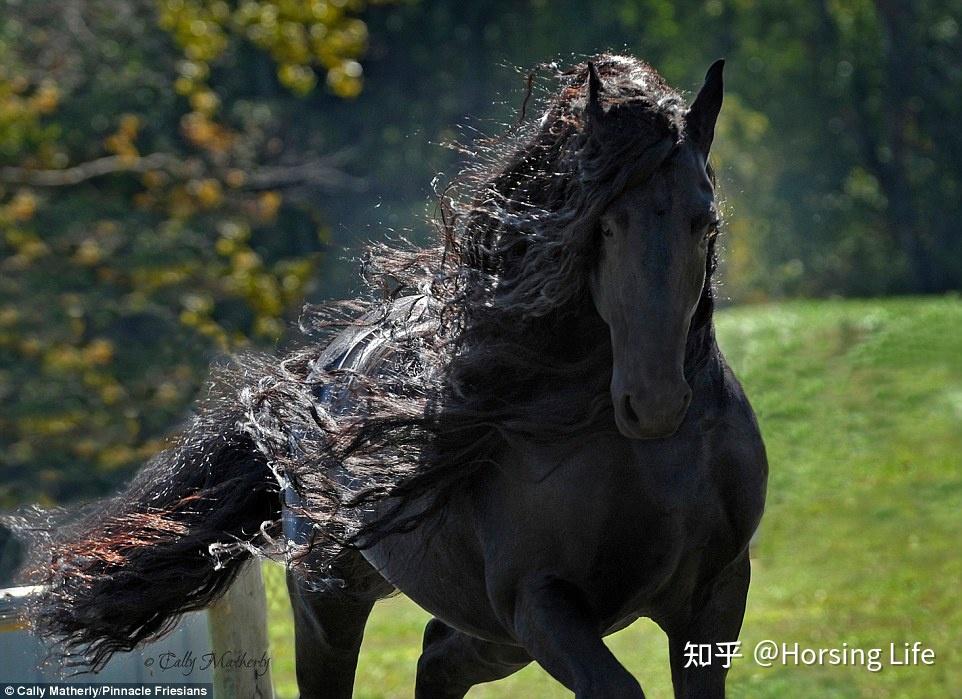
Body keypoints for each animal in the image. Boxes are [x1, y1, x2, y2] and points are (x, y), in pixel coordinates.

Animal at [14, 54, 768, 698]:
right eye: (605, 226)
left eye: (704, 222)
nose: (654, 402)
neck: (646, 464)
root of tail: (312, 376)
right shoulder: (542, 602)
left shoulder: (712, 599)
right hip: (336, 599)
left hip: (487, 632)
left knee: (437, 660)